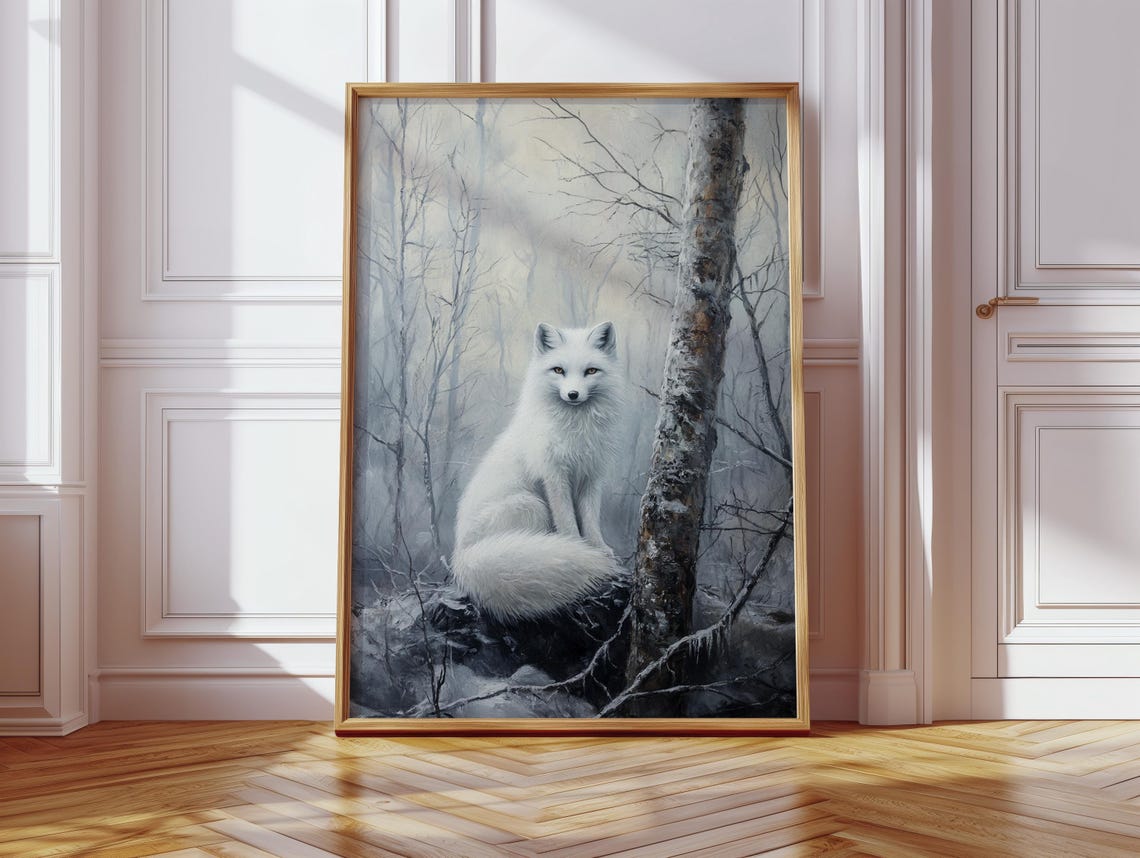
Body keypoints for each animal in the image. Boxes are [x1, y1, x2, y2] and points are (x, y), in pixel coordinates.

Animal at [451, 321, 628, 621]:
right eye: (558, 370)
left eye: (591, 371)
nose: (573, 394)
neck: (576, 429)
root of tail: (461, 558)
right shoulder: (554, 476)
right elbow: (567, 519)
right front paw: (577, 549)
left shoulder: (591, 478)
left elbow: (591, 519)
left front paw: (599, 549)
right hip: (533, 506)